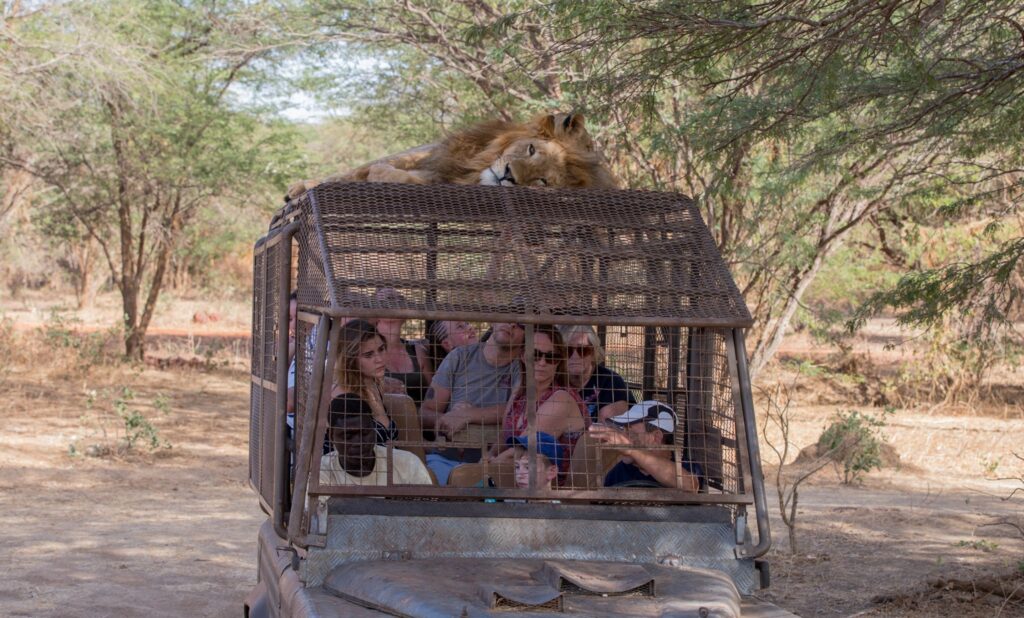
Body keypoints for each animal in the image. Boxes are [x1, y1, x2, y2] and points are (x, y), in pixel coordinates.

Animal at [286, 113, 618, 199]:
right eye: (531, 149)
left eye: (542, 181)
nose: (508, 175)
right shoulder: (436, 155)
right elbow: (358, 169)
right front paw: (302, 186)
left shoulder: (439, 179)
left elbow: (387, 173)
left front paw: (377, 175)